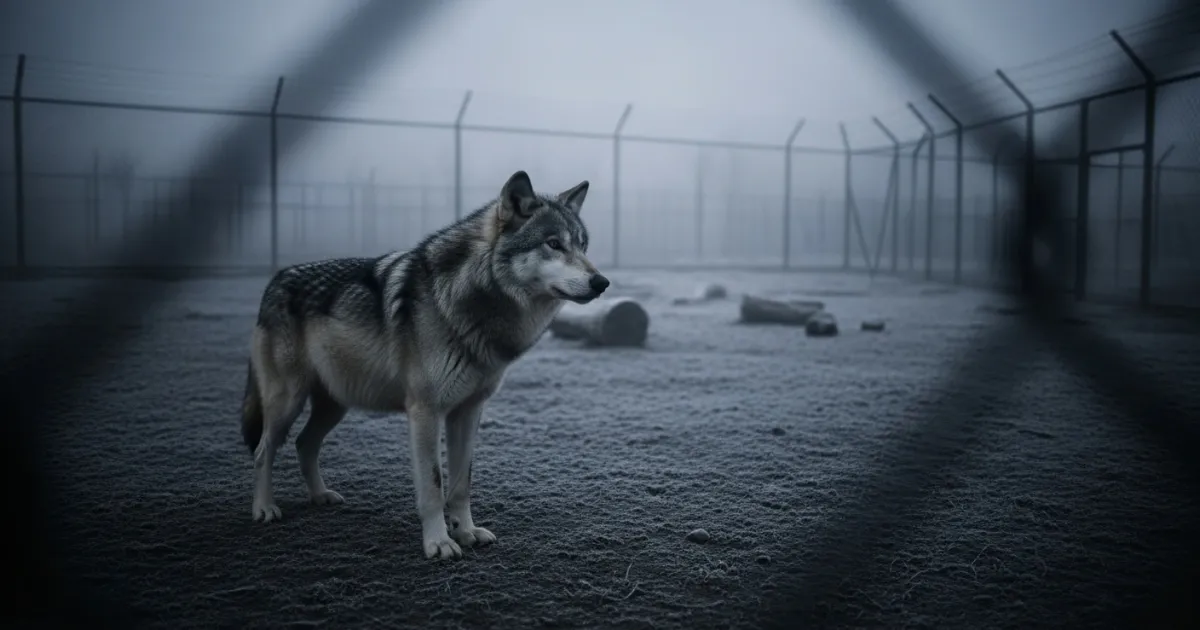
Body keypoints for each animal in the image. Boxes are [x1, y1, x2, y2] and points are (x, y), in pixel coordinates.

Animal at [239, 170, 608, 559]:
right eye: (553, 244)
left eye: (583, 246)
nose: (602, 282)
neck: (469, 304)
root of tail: (275, 280)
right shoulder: (425, 412)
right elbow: (434, 484)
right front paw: (439, 542)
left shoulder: (468, 411)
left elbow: (461, 483)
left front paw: (467, 532)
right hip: (288, 401)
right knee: (263, 450)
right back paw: (264, 508)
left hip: (334, 405)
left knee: (304, 444)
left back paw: (320, 496)